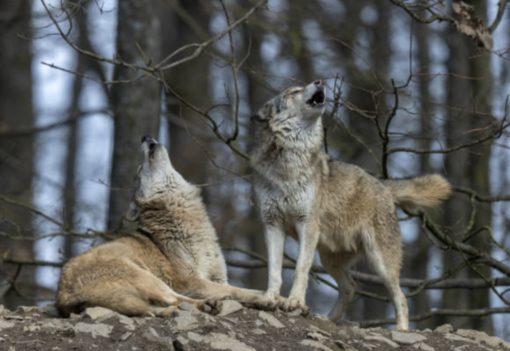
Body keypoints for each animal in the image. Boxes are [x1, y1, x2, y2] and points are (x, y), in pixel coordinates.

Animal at [55, 136, 274, 318]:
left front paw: (270, 296)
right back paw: (207, 305)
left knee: (158, 306)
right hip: (146, 276)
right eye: (140, 170)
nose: (144, 136)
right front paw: (266, 299)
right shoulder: (191, 281)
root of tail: (62, 294)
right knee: (176, 300)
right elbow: (238, 290)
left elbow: (244, 289)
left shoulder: (219, 279)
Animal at [248, 80, 450, 330]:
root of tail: (383, 184)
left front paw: (294, 302)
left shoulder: (307, 225)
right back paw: (328, 319)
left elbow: (300, 270)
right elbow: (274, 271)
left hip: (380, 262)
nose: (320, 81)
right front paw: (269, 298)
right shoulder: (272, 225)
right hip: (329, 259)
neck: (288, 163)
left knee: (400, 297)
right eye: (294, 91)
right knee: (350, 287)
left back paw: (401, 330)